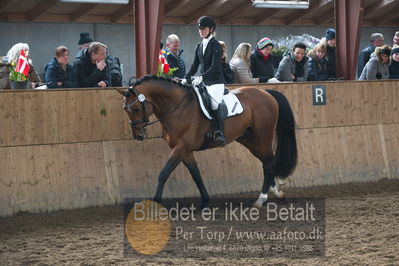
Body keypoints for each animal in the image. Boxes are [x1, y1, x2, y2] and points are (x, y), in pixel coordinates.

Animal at [116, 75, 296, 208]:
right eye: (125, 109)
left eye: (136, 109)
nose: (138, 136)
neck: (177, 107)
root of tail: (267, 93)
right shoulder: (185, 150)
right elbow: (196, 175)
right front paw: (205, 201)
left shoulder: (181, 147)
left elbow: (163, 173)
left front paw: (155, 202)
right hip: (248, 139)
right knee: (268, 161)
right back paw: (275, 192)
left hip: (263, 136)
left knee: (268, 163)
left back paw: (261, 199)